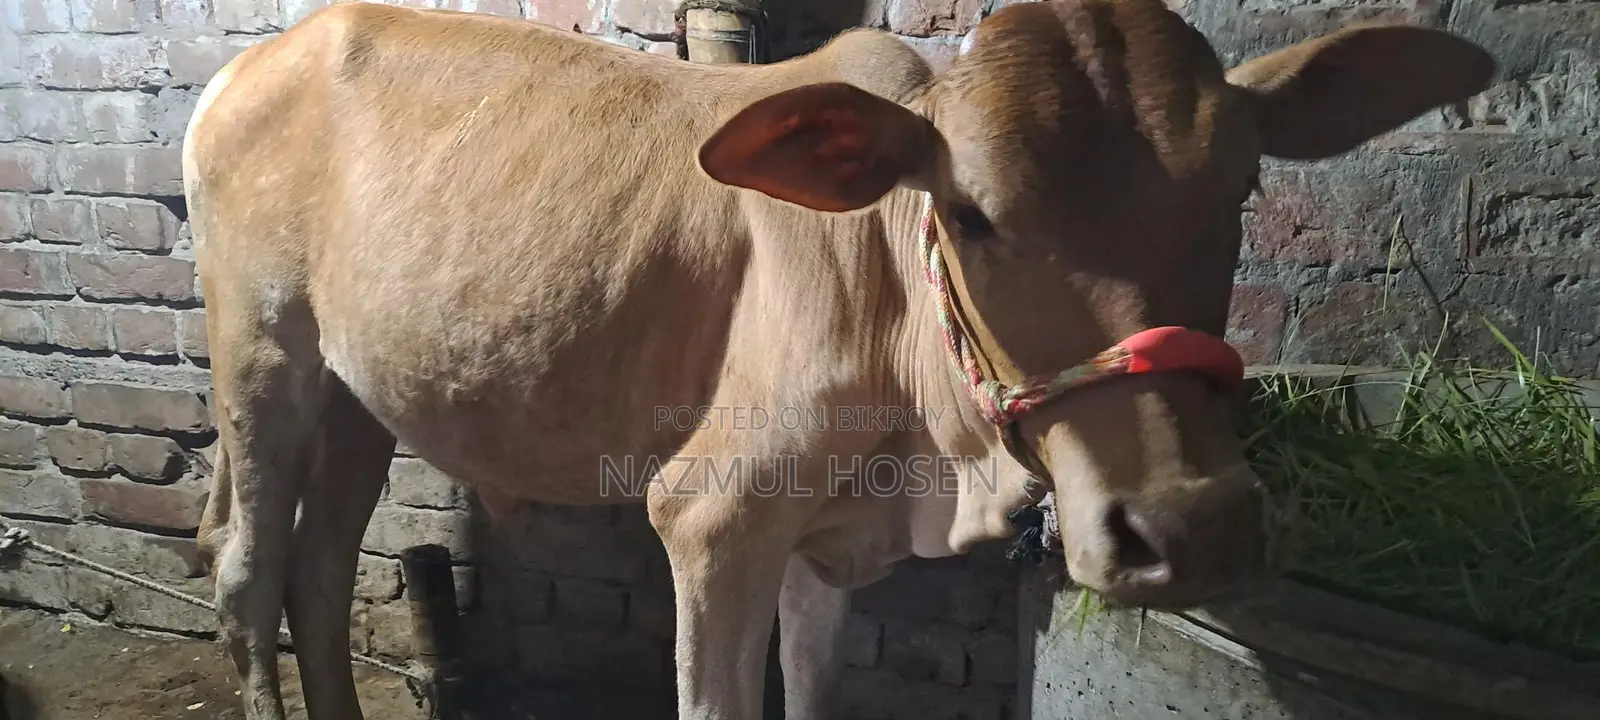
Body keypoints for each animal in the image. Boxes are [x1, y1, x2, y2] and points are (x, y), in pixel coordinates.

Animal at [180, 0, 1495, 717]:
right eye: (969, 213)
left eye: (1243, 188)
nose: (1188, 525)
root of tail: (255, 59)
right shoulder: (709, 518)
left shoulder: (830, 542)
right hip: (260, 354)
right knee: (248, 573)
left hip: (359, 397)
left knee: (317, 571)